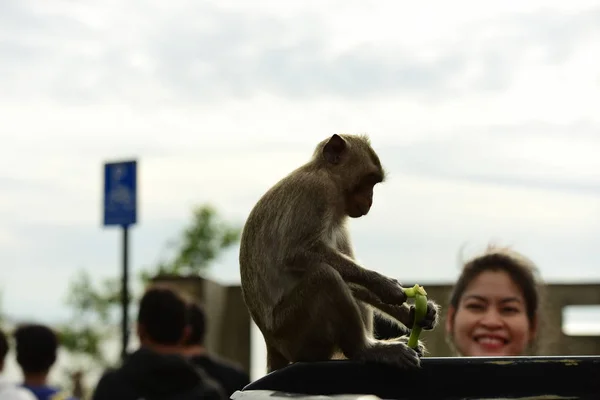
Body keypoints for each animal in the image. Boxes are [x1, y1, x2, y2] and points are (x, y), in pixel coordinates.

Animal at [239, 134, 440, 372]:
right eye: (368, 181)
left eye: (374, 183)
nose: (370, 200)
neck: (327, 176)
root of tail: (272, 345)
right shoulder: (317, 191)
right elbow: (295, 253)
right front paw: (384, 284)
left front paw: (413, 313)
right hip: (293, 334)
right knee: (325, 277)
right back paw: (366, 349)